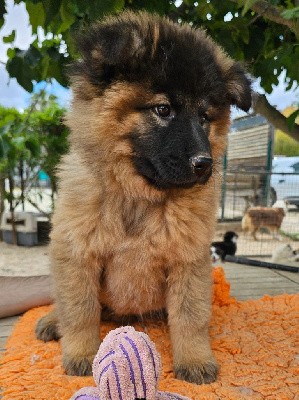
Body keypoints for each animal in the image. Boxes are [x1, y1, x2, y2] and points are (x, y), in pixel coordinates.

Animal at [35, 11, 253, 384]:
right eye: (163, 109)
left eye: (204, 117)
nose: (203, 164)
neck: (137, 196)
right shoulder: (78, 253)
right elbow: (80, 311)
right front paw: (81, 354)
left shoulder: (188, 260)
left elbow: (190, 317)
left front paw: (194, 359)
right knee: (63, 304)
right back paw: (52, 322)